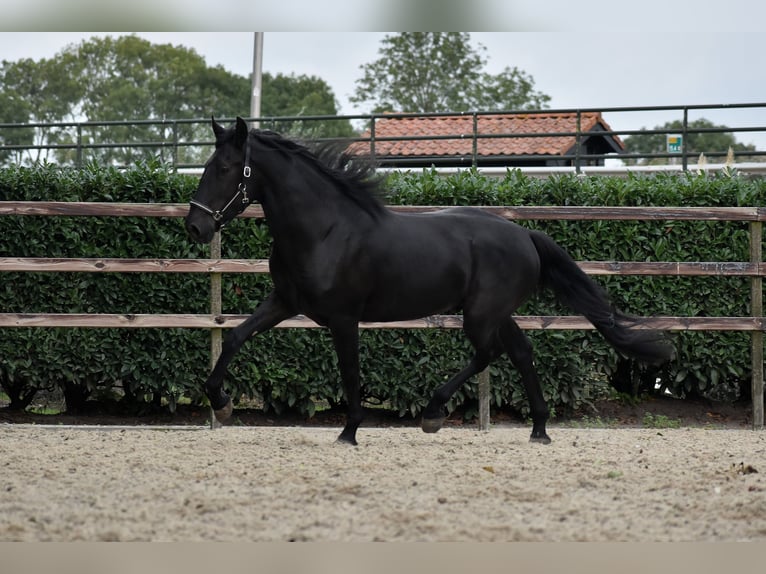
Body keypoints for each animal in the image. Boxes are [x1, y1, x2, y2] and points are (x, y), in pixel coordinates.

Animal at [184, 119, 672, 448]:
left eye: (226, 167)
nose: (195, 226)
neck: (325, 230)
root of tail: (524, 235)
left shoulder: (343, 318)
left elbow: (350, 371)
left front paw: (349, 431)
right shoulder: (285, 302)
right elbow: (235, 337)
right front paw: (220, 401)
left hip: (480, 315)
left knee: (489, 354)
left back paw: (434, 413)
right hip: (495, 313)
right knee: (520, 351)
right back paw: (538, 429)